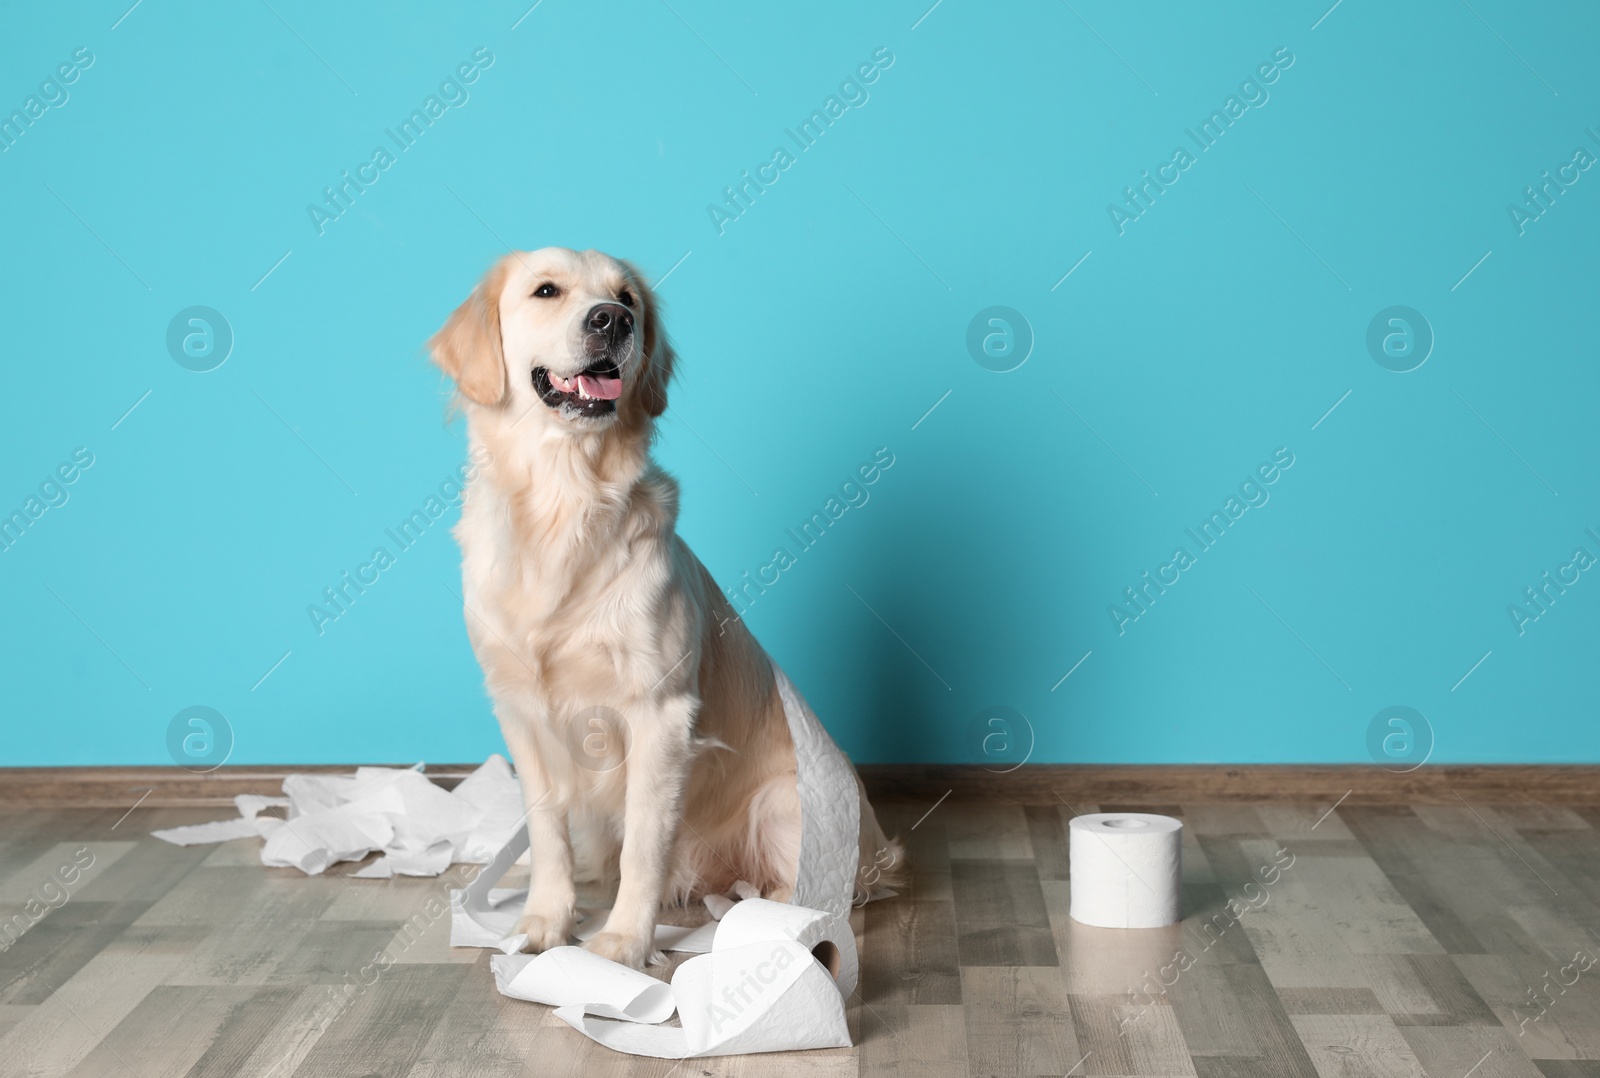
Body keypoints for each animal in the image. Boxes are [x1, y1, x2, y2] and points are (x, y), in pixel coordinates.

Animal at [428, 246, 902, 966]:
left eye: (627, 298)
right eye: (546, 291)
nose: (612, 320)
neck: (564, 501)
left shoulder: (659, 711)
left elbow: (646, 845)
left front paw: (624, 940)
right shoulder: (520, 712)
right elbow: (547, 831)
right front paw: (545, 921)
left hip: (784, 804)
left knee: (810, 892)